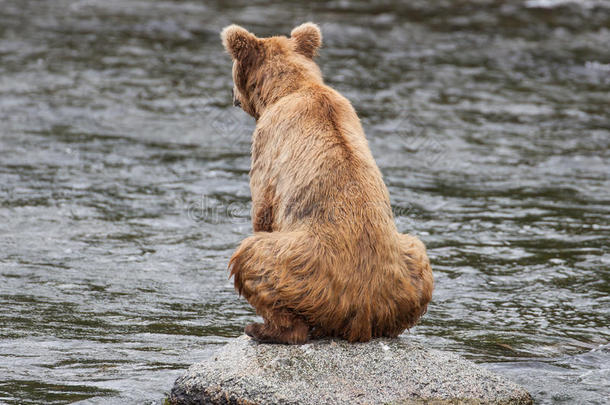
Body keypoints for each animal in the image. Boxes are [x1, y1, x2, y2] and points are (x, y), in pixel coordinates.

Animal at [221, 22, 430, 342]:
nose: (231, 94)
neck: (289, 89)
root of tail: (361, 314)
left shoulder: (268, 144)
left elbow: (263, 208)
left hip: (301, 268)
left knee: (251, 254)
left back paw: (263, 328)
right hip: (405, 268)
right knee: (419, 258)